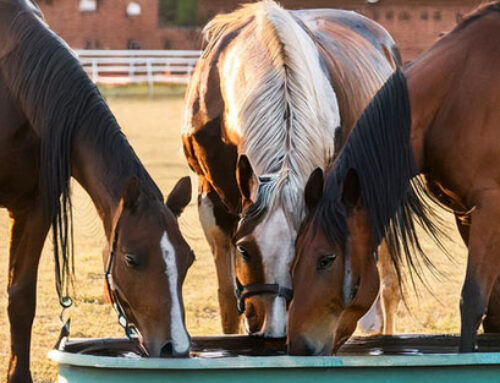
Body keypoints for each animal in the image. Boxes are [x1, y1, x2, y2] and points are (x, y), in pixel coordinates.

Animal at [288, 2, 500, 356]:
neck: (455, 92)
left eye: (326, 259)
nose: (298, 347)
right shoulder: (466, 213)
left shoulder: (490, 208)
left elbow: (472, 301)